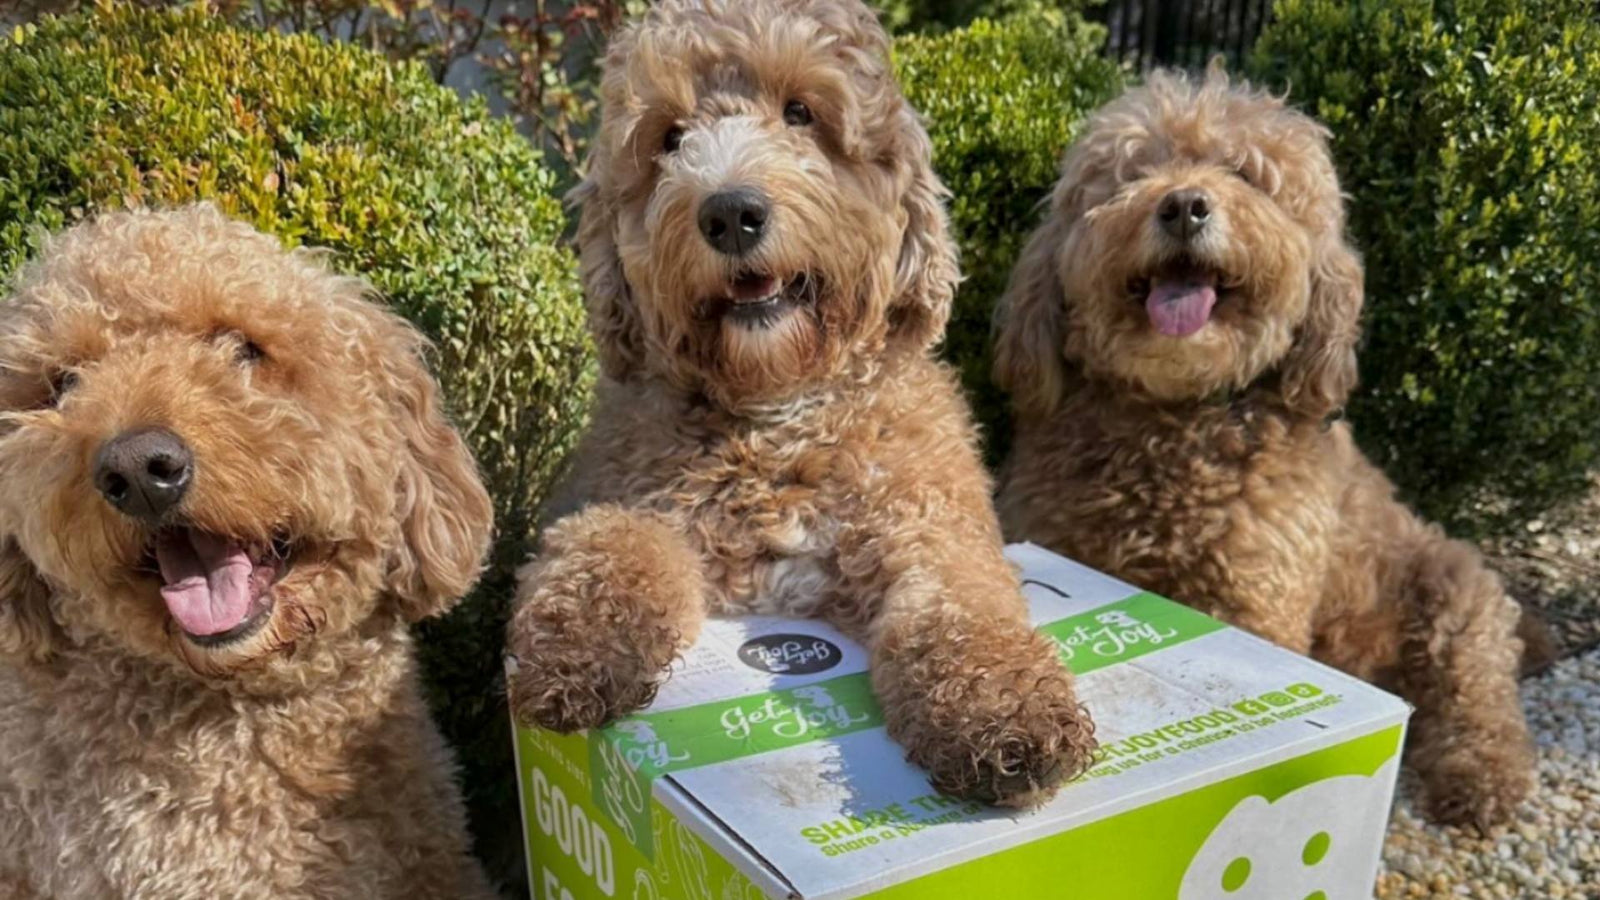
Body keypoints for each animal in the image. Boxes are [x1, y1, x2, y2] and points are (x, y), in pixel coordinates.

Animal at [505, 0, 1094, 800]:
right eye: (669, 139)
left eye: (800, 113)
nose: (730, 212)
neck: (778, 415)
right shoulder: (630, 499)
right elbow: (610, 544)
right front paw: (573, 647)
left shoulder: (929, 524)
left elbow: (964, 602)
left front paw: (1004, 706)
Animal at [998, 70, 1536, 826]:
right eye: (1134, 172)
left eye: (1246, 174)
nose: (1185, 204)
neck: (1174, 422)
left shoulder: (1256, 601)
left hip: (1457, 592)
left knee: (1478, 692)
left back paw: (1483, 777)